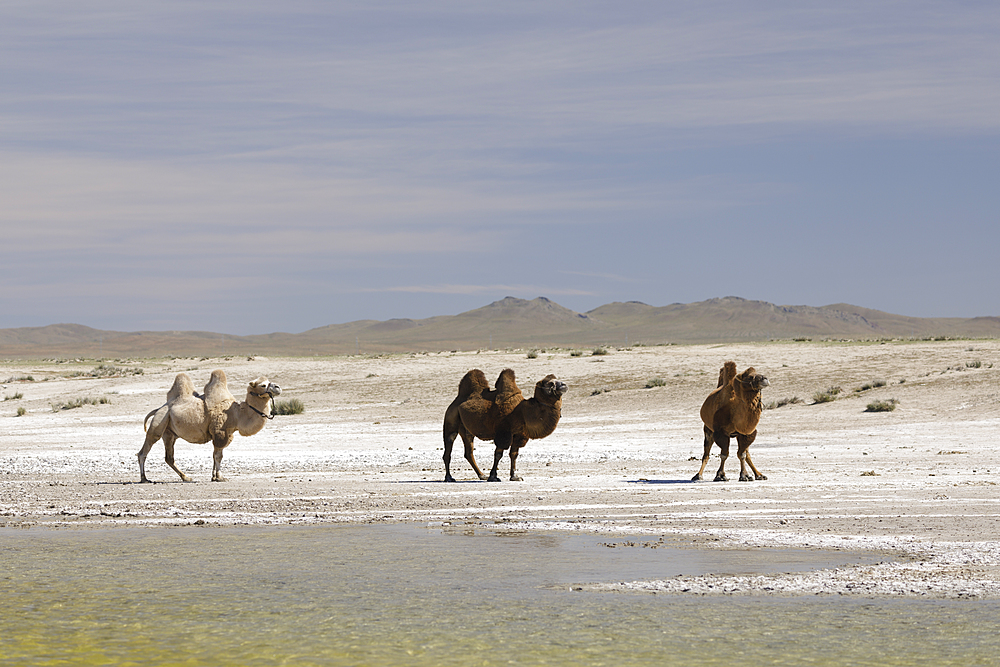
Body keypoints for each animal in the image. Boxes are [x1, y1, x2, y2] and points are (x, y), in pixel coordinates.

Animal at [137, 368, 282, 482]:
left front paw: (214, 476)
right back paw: (144, 478)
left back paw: (186, 477)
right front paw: (220, 477)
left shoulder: (226, 434)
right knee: (145, 450)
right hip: (159, 421)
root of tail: (159, 408)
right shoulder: (220, 432)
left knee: (169, 457)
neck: (237, 414)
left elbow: (215, 455)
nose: (278, 387)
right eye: (263, 385)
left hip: (169, 433)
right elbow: (218, 456)